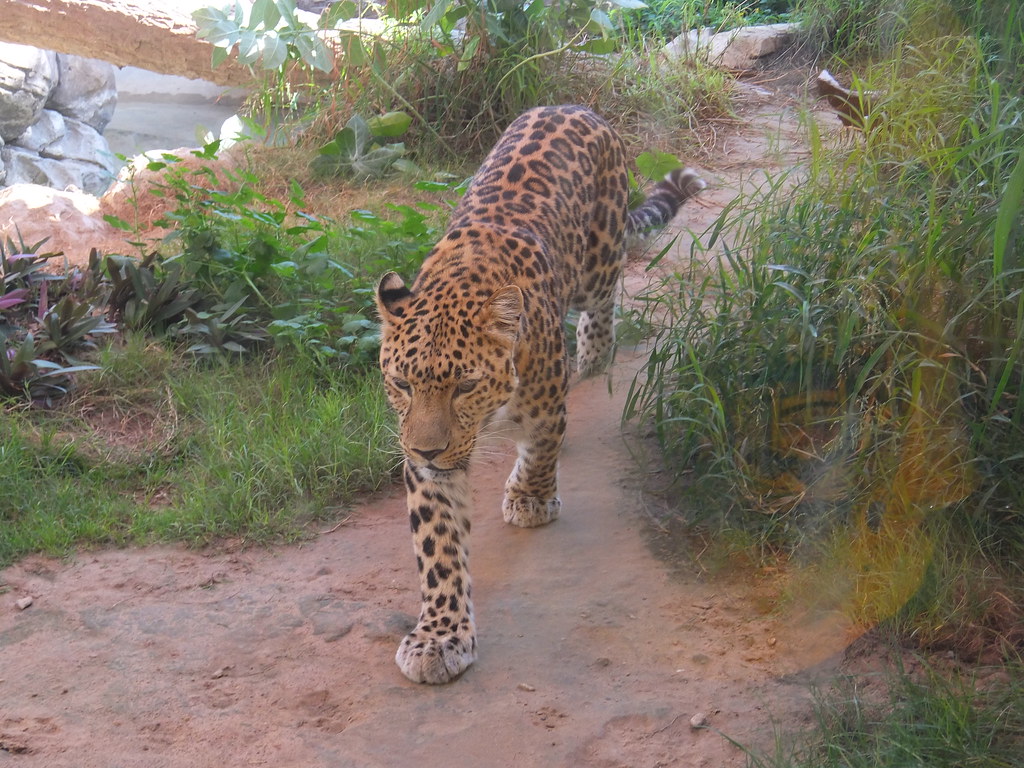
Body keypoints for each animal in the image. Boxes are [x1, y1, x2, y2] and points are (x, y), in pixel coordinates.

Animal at [375, 104, 706, 684]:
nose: (427, 450)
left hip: (597, 262)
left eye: (465, 385)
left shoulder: (542, 406)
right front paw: (440, 637)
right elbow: (439, 548)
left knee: (604, 302)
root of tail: (576, 107)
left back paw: (592, 355)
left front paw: (529, 499)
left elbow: (542, 444)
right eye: (401, 384)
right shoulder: (426, 466)